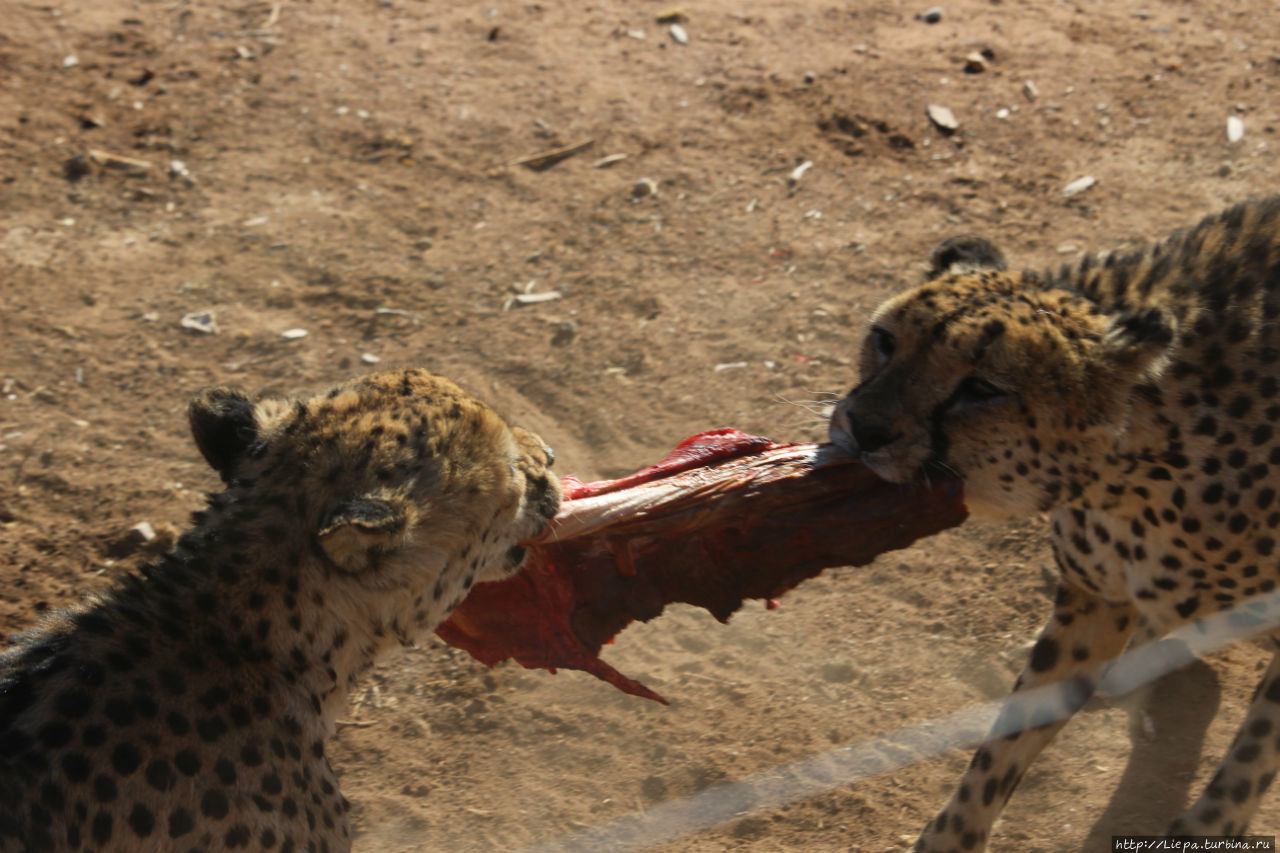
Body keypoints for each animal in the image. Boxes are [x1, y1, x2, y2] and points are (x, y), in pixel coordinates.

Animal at [829, 197, 1280, 845]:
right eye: (885, 340)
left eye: (982, 388)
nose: (863, 428)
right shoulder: (1093, 599)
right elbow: (1008, 740)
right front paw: (951, 837)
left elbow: (1252, 754)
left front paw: (1209, 827)